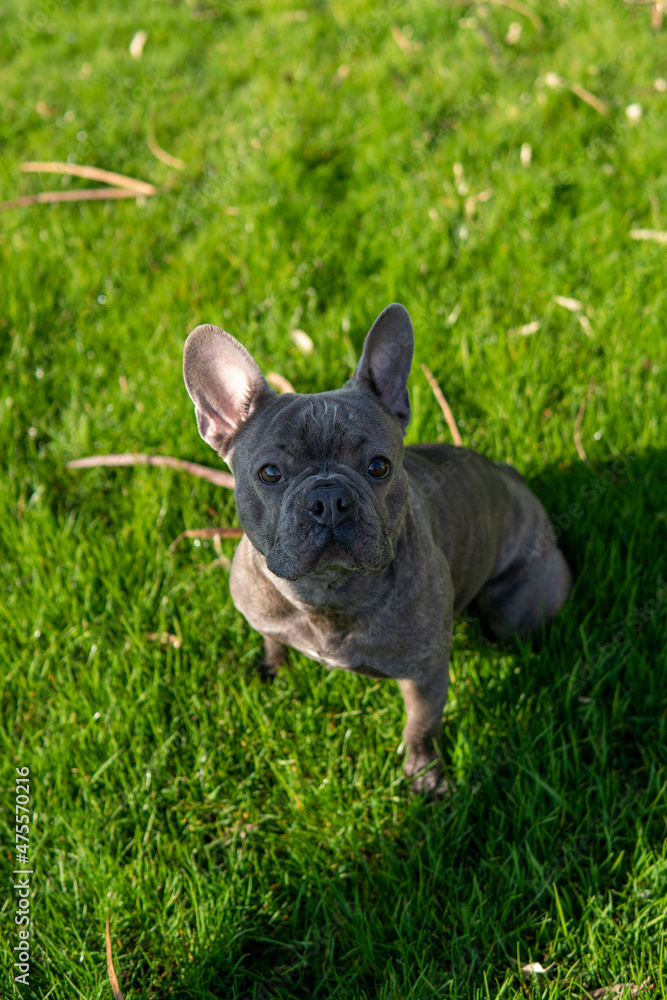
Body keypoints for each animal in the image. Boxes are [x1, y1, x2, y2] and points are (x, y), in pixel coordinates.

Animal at [184, 300, 576, 792]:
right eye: (270, 473)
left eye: (378, 467)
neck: (327, 594)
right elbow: (272, 639)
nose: (328, 499)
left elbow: (420, 727)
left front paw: (425, 776)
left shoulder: (426, 675)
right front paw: (272, 666)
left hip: (513, 611)